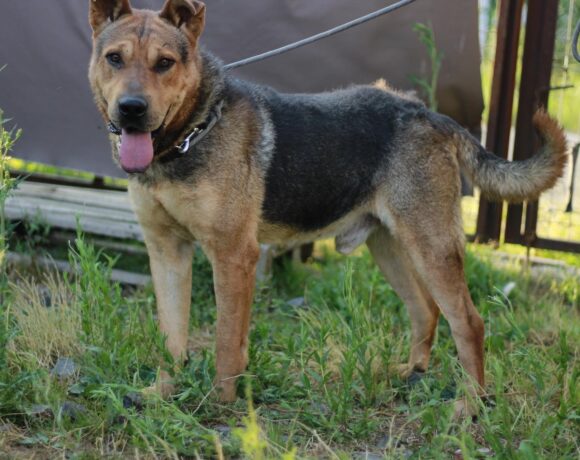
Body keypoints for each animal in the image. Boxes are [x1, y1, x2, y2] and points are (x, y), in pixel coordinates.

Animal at [88, 0, 567, 416]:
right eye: (114, 58)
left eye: (164, 63)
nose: (132, 110)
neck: (190, 134)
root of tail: (431, 116)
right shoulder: (167, 253)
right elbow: (171, 337)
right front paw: (162, 392)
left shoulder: (233, 256)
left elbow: (226, 344)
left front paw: (220, 406)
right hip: (389, 248)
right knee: (425, 310)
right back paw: (411, 373)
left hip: (432, 248)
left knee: (469, 322)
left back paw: (469, 405)